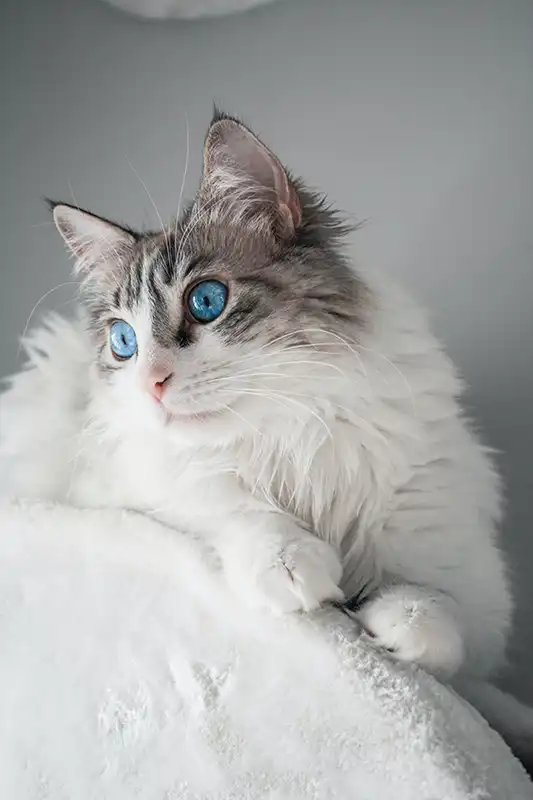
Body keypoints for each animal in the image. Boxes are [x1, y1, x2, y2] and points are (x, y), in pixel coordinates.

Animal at [0, 109, 528, 764]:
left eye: (206, 301)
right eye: (124, 342)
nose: (150, 384)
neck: (291, 437)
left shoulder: (475, 596)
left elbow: (445, 621)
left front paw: (401, 619)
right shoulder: (134, 490)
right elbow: (235, 507)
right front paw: (294, 565)